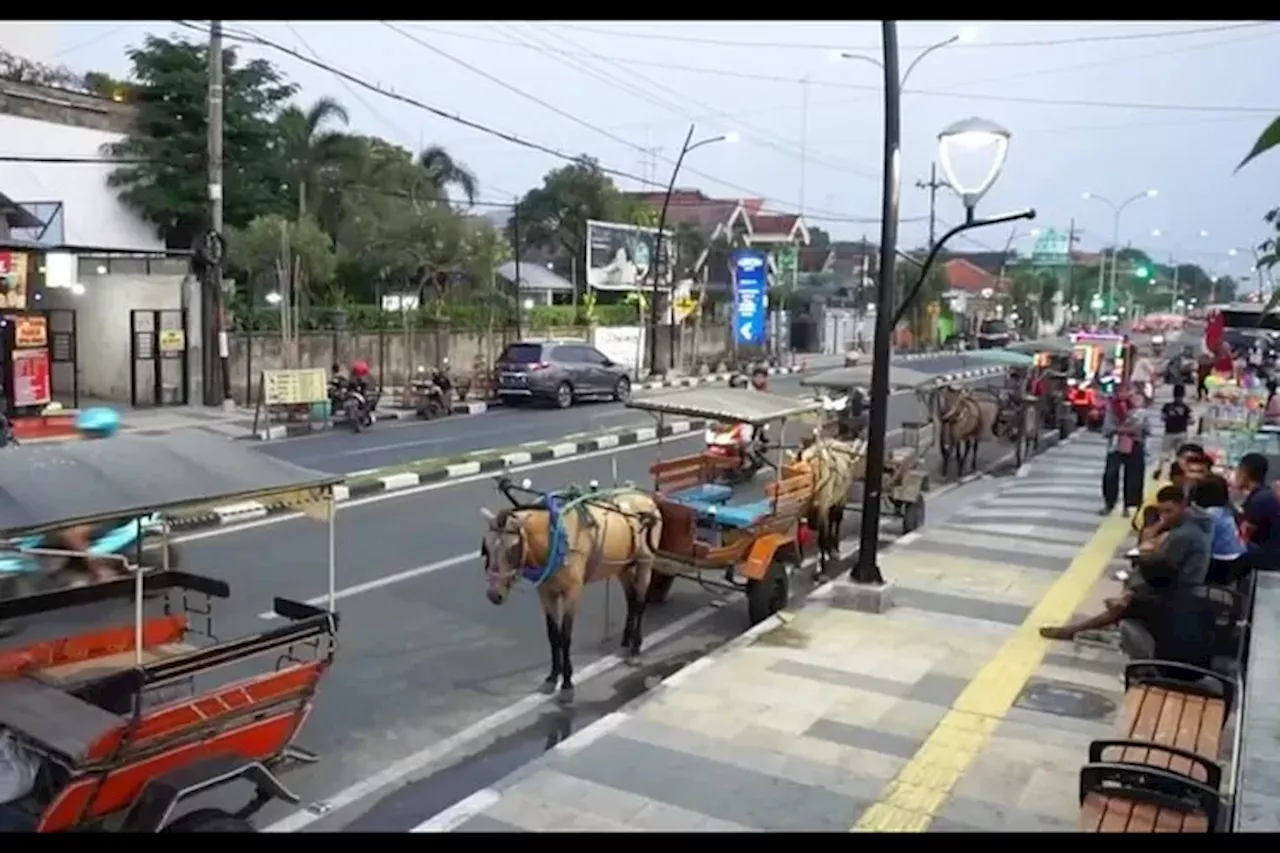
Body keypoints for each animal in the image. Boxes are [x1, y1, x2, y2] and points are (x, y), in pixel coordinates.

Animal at [478, 489, 660, 701]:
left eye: (512, 549)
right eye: (487, 548)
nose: (494, 594)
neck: (555, 539)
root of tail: (643, 496)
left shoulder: (572, 592)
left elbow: (565, 636)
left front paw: (566, 683)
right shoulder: (546, 593)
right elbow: (553, 634)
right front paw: (552, 677)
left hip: (645, 562)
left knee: (640, 602)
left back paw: (635, 648)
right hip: (623, 566)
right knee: (631, 600)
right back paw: (625, 642)